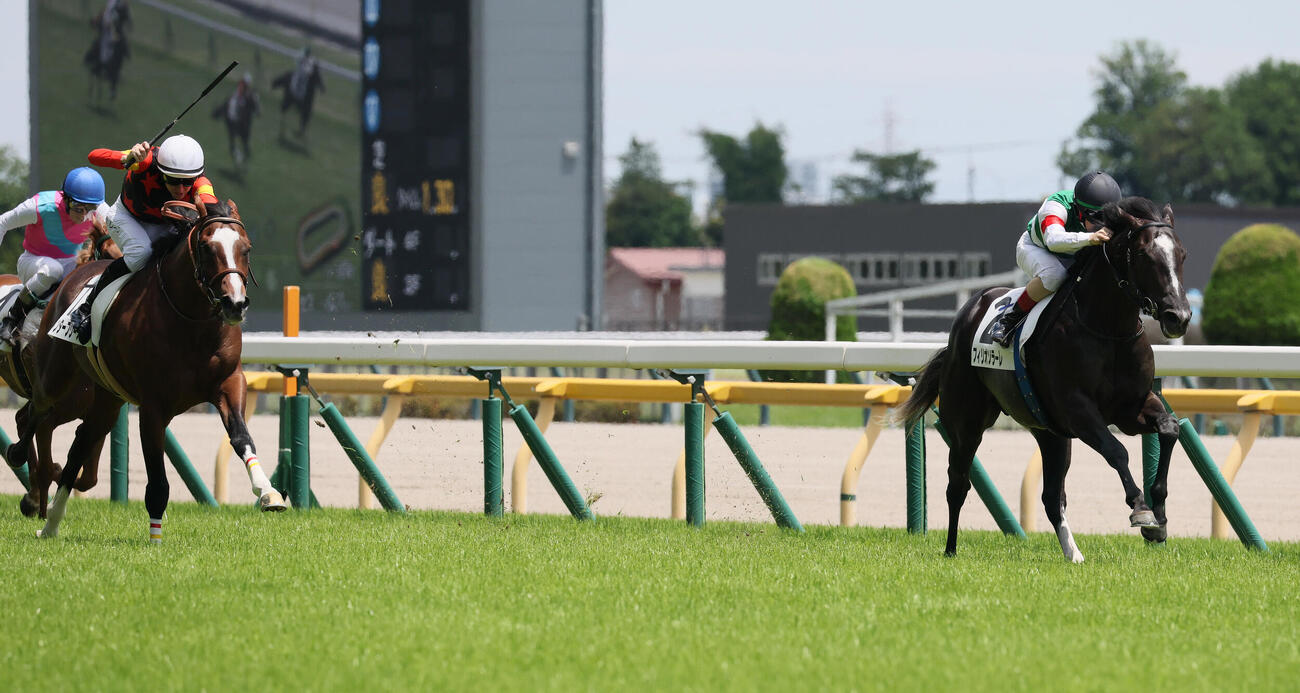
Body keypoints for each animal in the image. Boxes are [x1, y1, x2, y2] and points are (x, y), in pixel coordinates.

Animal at [16, 199, 285, 542]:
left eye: (246, 248)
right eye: (207, 248)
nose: (234, 304)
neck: (191, 321)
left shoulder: (229, 381)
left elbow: (240, 437)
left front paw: (268, 492)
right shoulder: (153, 405)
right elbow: (157, 476)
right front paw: (155, 535)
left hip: (107, 397)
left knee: (80, 443)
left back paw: (51, 522)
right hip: (56, 376)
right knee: (36, 411)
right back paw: (25, 470)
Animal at [897, 196, 1191, 562]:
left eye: (1182, 254)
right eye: (1144, 255)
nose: (1179, 317)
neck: (1107, 330)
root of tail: (969, 311)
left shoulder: (1131, 407)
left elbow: (1169, 428)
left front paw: (1160, 516)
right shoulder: (1077, 410)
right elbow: (1116, 450)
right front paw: (1141, 509)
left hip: (1049, 433)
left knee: (1052, 497)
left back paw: (1073, 554)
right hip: (967, 423)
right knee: (958, 484)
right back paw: (950, 549)